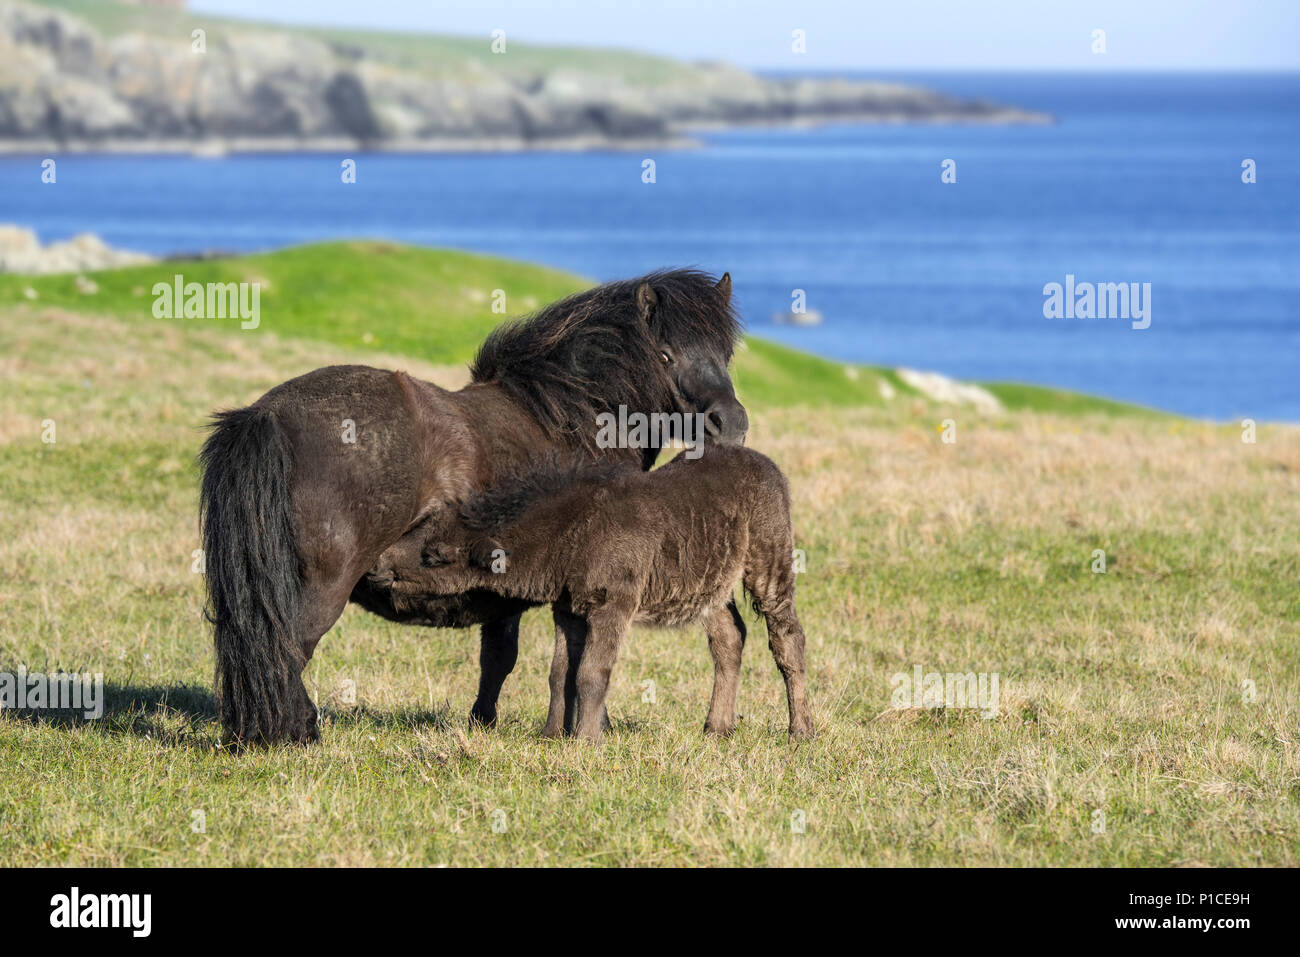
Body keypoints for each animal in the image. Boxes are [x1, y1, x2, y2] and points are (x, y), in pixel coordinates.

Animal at [197, 269, 748, 748]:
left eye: (726, 353)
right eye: (665, 354)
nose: (731, 424)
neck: (572, 420)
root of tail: (268, 415)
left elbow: (501, 659)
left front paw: (485, 722)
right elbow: (566, 663)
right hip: (321, 590)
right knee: (288, 650)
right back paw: (295, 732)